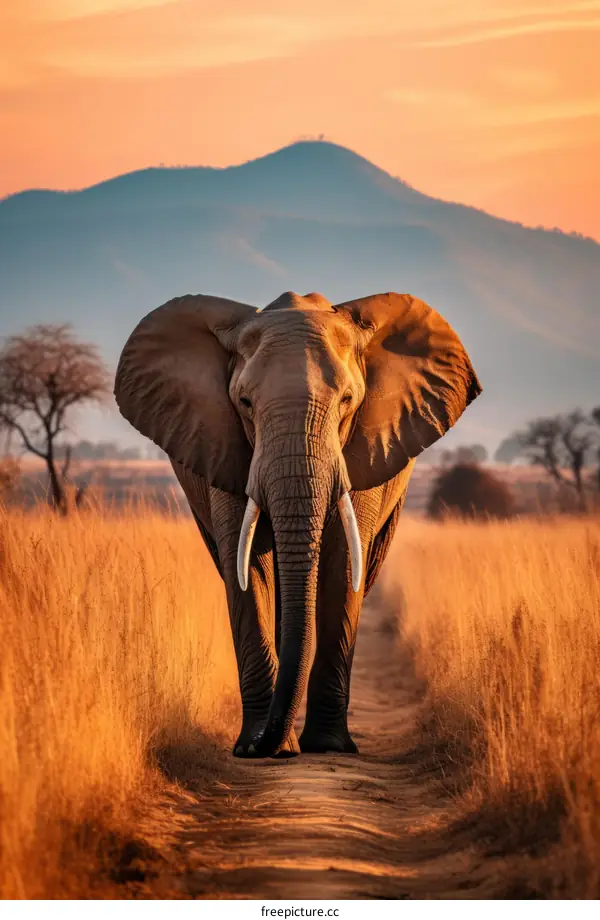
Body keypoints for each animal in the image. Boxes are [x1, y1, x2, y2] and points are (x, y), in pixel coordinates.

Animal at [114, 290, 481, 759]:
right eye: (245, 403)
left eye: (347, 401)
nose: (260, 747)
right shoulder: (224, 445)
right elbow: (246, 568)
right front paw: (260, 746)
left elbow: (343, 565)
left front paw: (327, 746)